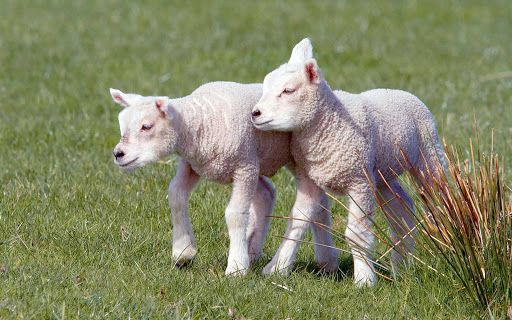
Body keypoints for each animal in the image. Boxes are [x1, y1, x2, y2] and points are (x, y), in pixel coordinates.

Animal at [110, 81, 338, 276]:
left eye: (146, 126)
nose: (118, 154)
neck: (201, 122)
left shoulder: (244, 167)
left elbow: (235, 214)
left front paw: (236, 267)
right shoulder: (192, 164)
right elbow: (175, 195)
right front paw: (183, 252)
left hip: (295, 157)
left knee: (310, 201)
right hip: (260, 162)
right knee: (271, 195)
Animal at [251, 38, 444, 286]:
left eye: (288, 90)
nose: (255, 113)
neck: (325, 124)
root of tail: (401, 92)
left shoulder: (359, 181)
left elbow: (356, 233)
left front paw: (364, 279)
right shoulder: (310, 179)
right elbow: (297, 222)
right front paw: (277, 268)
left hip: (428, 154)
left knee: (440, 198)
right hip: (380, 174)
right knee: (402, 210)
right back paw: (401, 266)